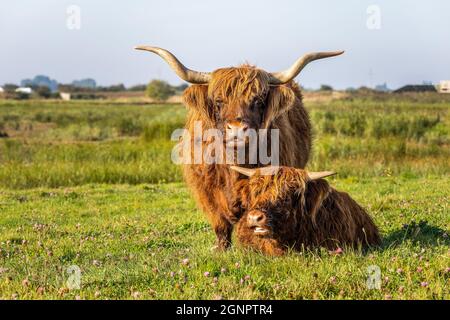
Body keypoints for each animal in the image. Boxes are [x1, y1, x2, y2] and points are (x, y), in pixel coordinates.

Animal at [135, 45, 342, 250]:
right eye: (218, 101)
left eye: (258, 101)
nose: (236, 129)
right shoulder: (207, 192)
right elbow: (220, 224)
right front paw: (221, 248)